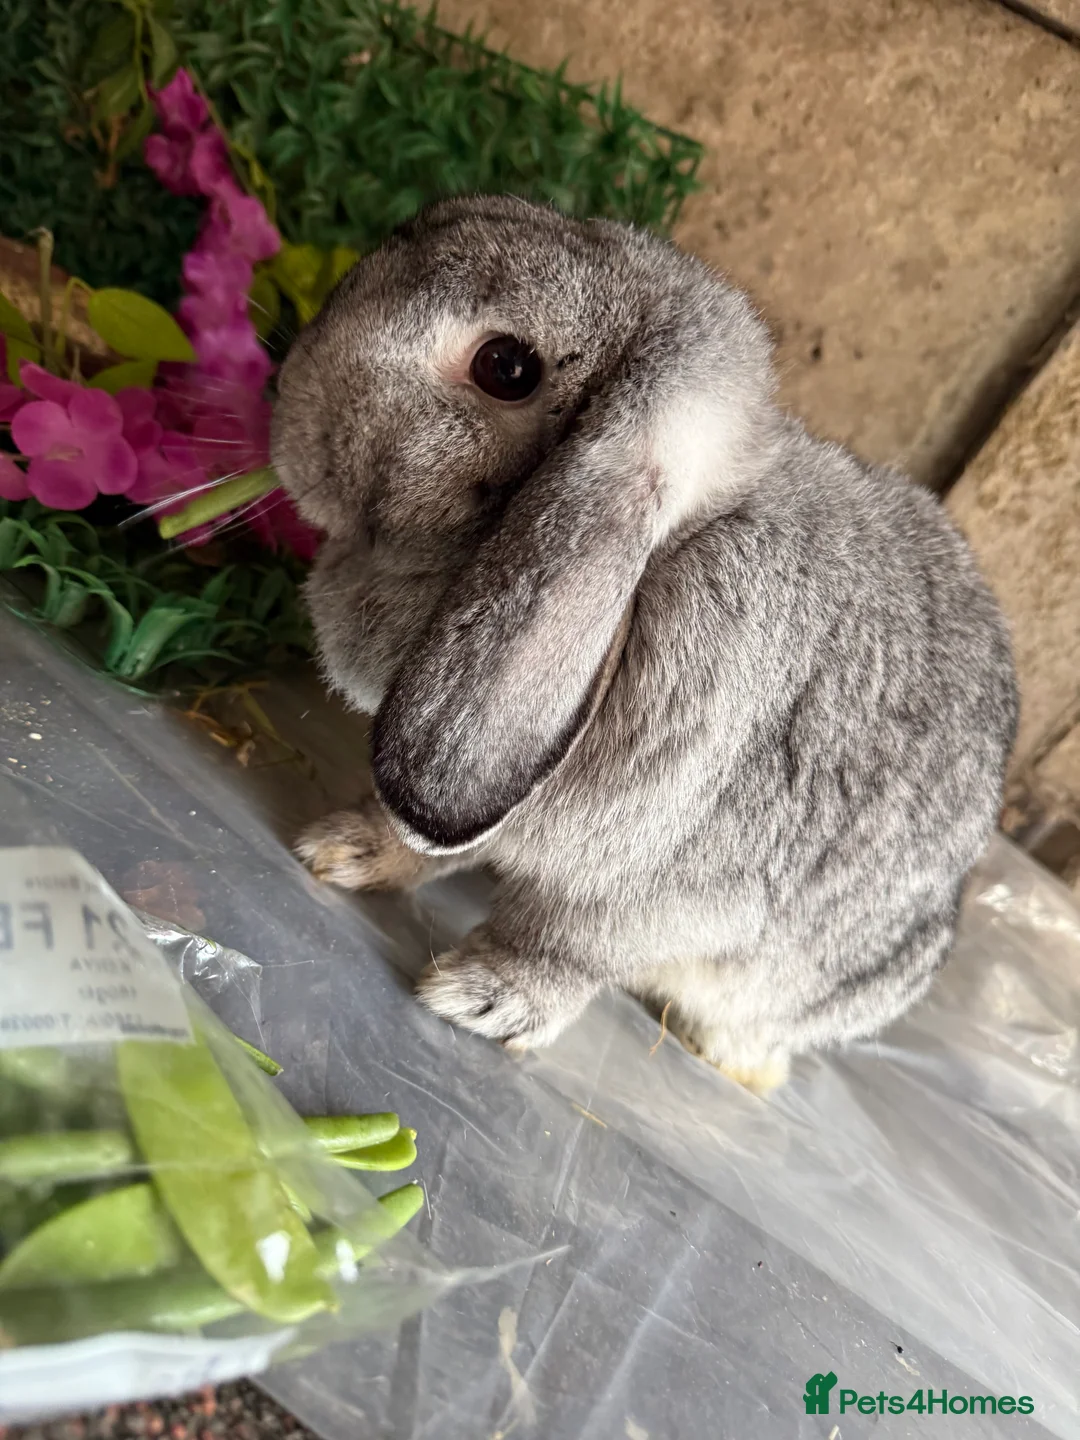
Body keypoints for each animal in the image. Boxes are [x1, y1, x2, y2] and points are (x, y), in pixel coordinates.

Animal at [271, 194, 1017, 1094]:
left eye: (505, 369)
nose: (286, 396)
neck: (650, 569)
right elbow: (415, 838)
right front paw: (341, 851)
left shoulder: (656, 893)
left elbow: (565, 948)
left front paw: (482, 1000)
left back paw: (738, 1063)